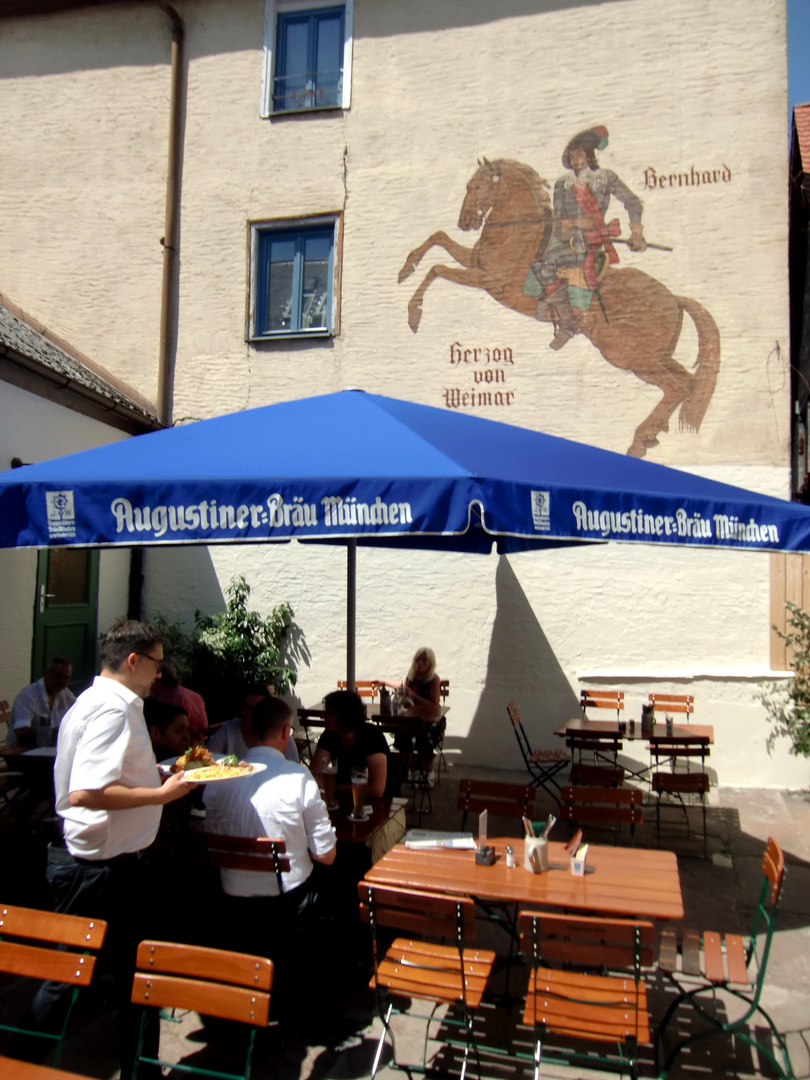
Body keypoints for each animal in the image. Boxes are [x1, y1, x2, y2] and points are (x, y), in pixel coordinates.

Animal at [399, 157, 721, 455]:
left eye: (477, 186)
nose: (464, 222)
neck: (517, 233)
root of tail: (674, 299)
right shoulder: (473, 262)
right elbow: (439, 239)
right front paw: (406, 269)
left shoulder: (487, 279)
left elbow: (438, 269)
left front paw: (414, 313)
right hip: (654, 358)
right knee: (688, 381)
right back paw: (650, 434)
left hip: (628, 357)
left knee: (677, 386)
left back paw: (639, 440)